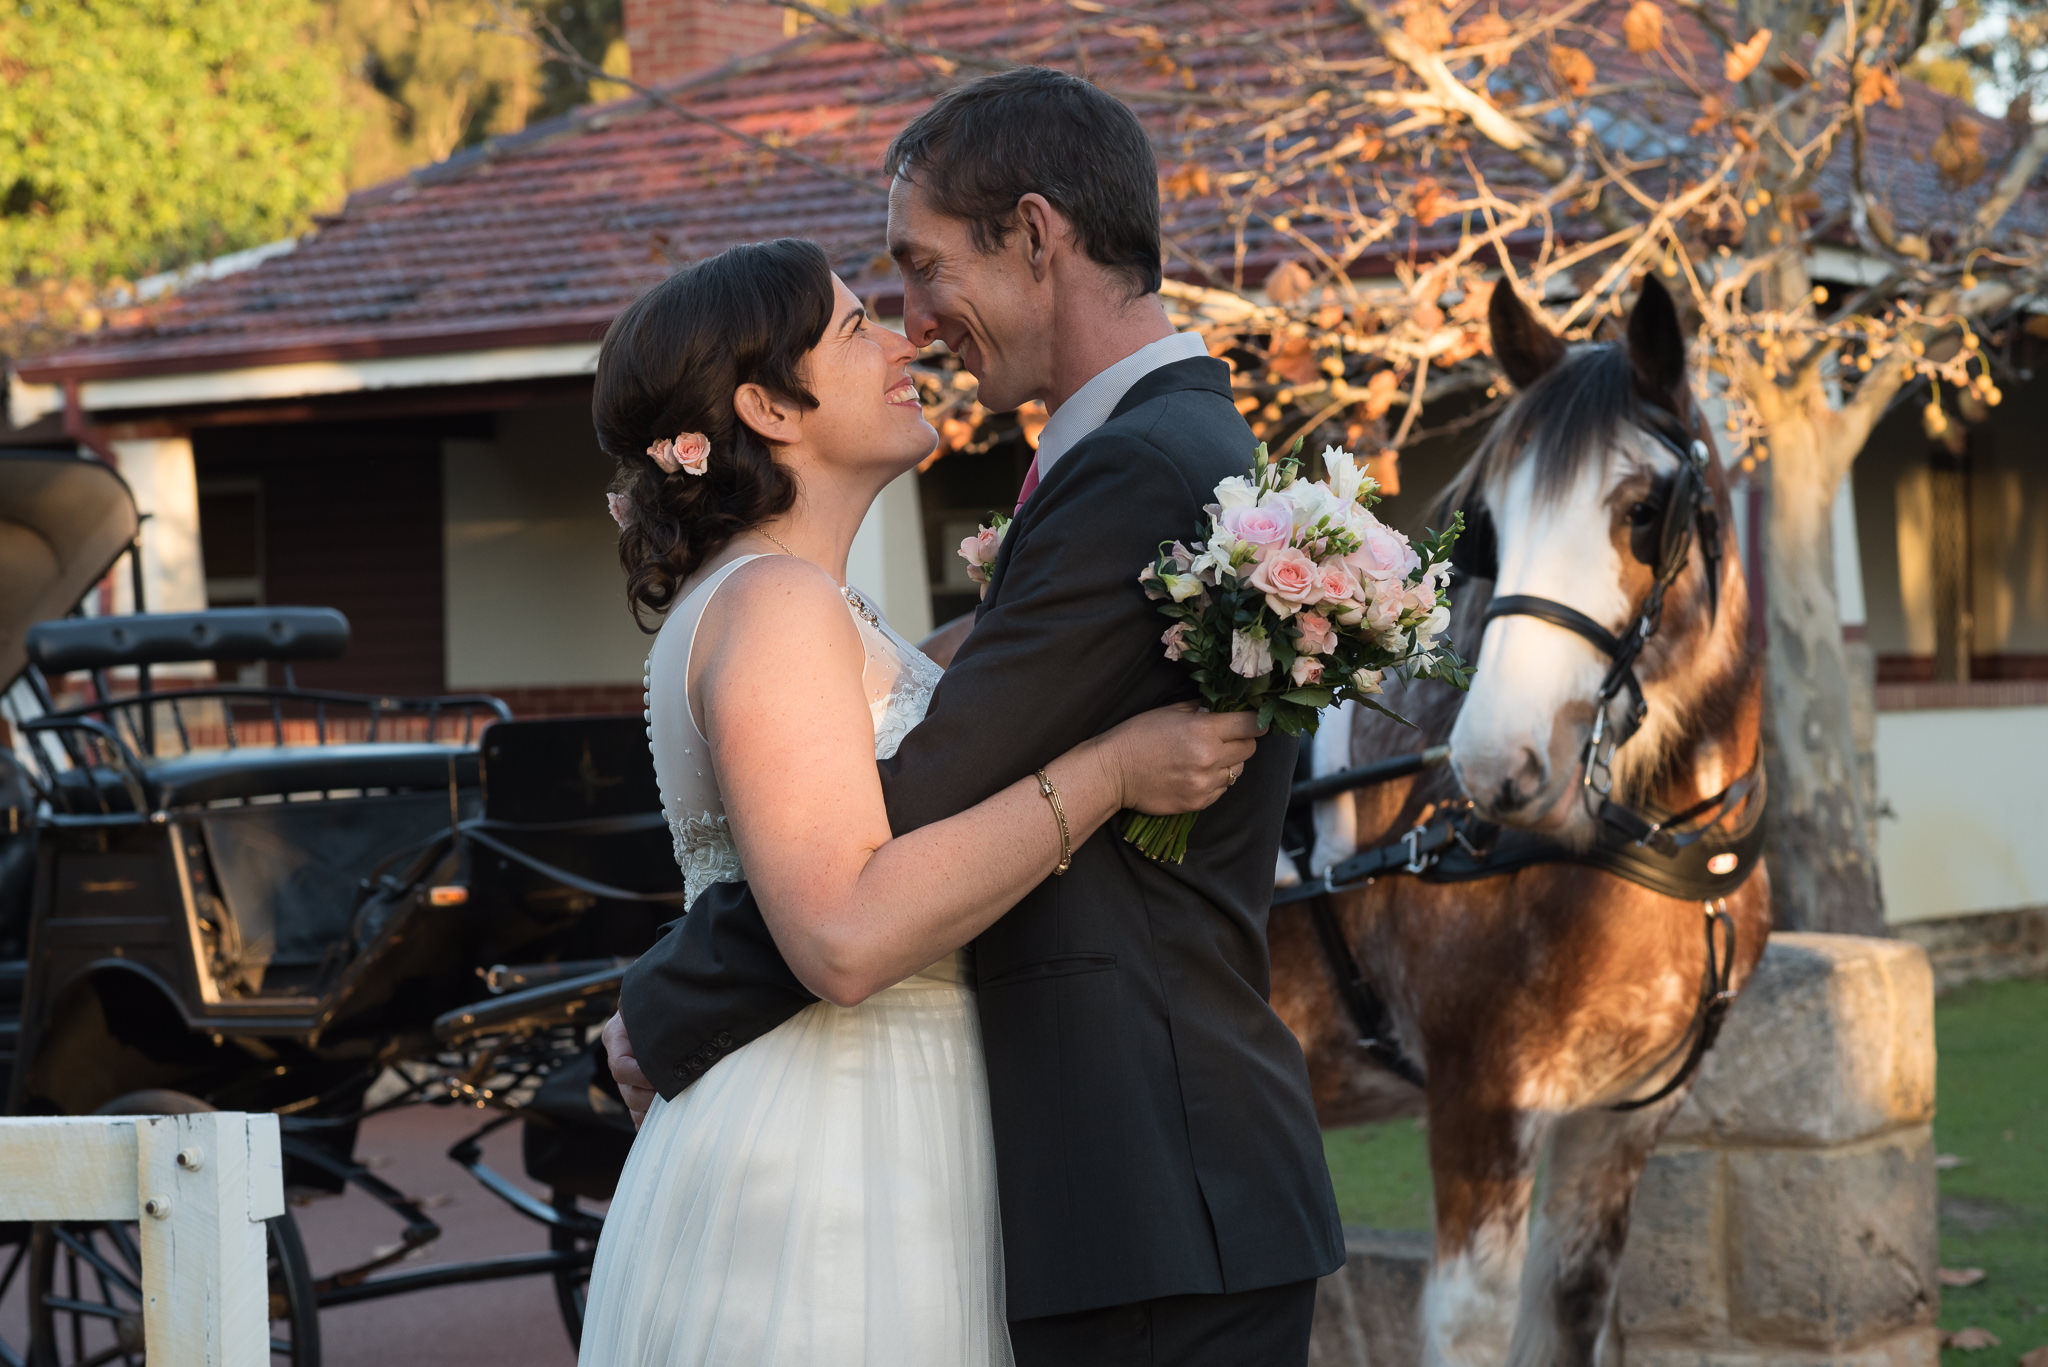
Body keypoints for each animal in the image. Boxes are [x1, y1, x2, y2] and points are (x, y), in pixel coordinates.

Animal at [1269, 278, 1769, 1367]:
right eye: (1488, 524)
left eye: (1642, 512)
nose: (1499, 764)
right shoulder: (1482, 1102)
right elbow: (1473, 1323)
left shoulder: (1618, 1118)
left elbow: (1570, 1305)